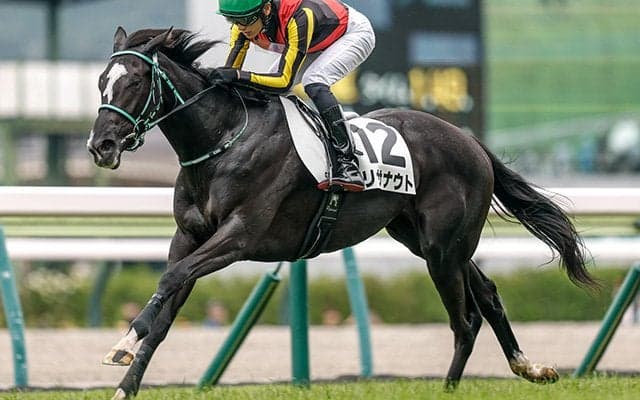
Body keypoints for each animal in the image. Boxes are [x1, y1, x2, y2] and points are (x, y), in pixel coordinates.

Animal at [87, 27, 597, 399]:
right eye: (101, 83)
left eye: (134, 82)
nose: (100, 146)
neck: (224, 140)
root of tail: (470, 140)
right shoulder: (190, 238)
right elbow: (167, 308)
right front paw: (127, 381)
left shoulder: (239, 237)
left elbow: (170, 279)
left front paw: (122, 344)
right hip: (426, 241)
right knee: (487, 295)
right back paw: (529, 367)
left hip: (442, 249)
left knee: (465, 319)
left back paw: (456, 385)